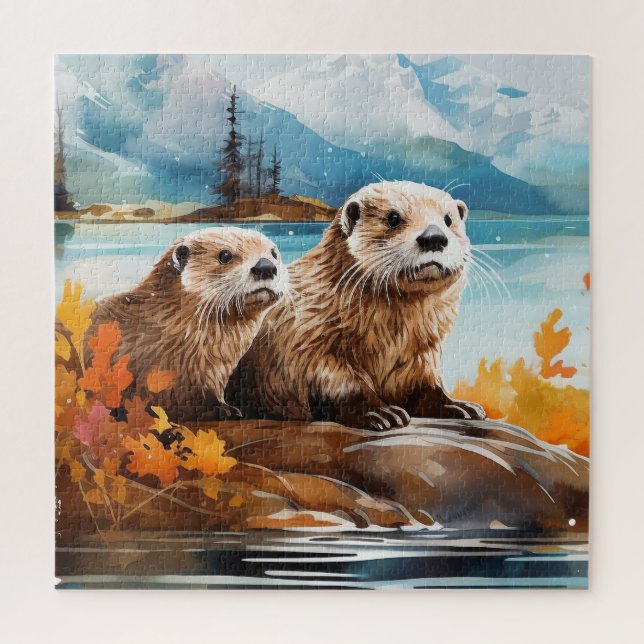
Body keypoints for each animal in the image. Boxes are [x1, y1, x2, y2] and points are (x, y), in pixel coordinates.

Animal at [228, 181, 485, 430]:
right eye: (393, 218)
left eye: (448, 220)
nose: (434, 237)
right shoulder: (308, 342)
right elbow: (339, 383)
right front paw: (379, 412)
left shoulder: (421, 351)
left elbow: (425, 386)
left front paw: (457, 406)